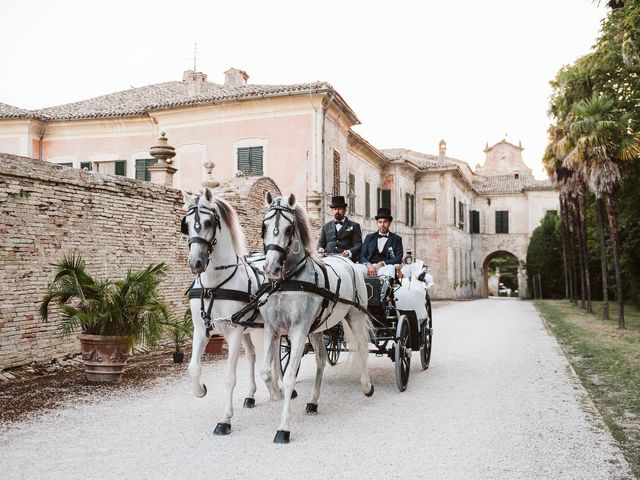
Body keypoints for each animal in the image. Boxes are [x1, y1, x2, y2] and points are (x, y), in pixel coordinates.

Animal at [180, 189, 280, 436]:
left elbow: (229, 377)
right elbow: (193, 368)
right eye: (186, 224)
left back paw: (280, 388)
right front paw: (200, 389)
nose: (195, 262)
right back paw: (253, 394)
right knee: (255, 355)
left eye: (208, 222)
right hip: (250, 329)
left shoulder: (233, 331)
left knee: (275, 354)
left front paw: (225, 419)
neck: (213, 285)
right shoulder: (201, 329)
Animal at [258, 193, 372, 444]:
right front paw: (276, 395)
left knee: (362, 347)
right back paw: (313, 401)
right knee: (321, 359)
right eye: (264, 226)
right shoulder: (272, 329)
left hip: (355, 315)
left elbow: (289, 376)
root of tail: (347, 261)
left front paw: (283, 427)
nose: (271, 268)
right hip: (318, 329)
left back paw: (367, 386)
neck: (287, 282)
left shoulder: (299, 331)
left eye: (289, 229)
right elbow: (265, 372)